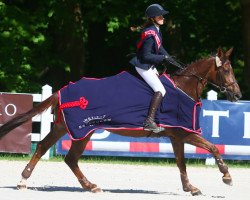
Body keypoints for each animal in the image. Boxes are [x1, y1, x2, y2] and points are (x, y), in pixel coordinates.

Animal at [0, 47, 242, 195]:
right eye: (226, 69)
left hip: (63, 127)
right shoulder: (185, 133)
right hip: (82, 131)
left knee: (44, 147)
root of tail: (61, 92)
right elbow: (213, 148)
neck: (183, 88)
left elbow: (181, 162)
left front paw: (190, 188)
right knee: (69, 157)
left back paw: (25, 181)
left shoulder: (177, 136)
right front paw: (227, 176)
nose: (238, 95)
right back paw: (90, 186)